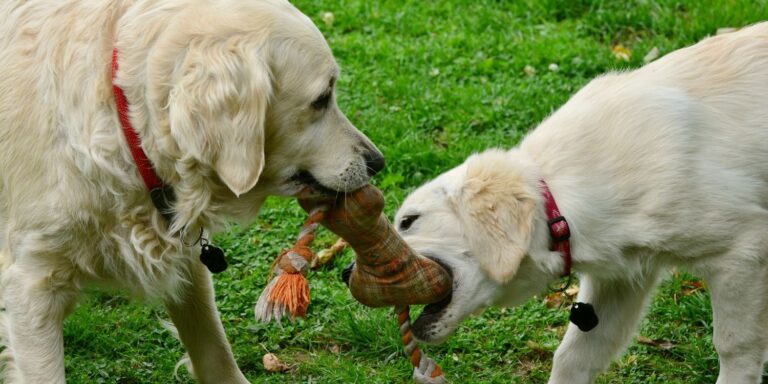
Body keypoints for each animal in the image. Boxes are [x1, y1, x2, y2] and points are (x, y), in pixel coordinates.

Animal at [0, 1, 384, 382]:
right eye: (322, 98)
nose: (377, 162)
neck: (126, 124)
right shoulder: (33, 286)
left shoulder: (187, 257)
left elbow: (213, 348)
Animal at [396, 22, 768, 382]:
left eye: (408, 221)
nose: (366, 272)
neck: (558, 201)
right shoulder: (620, 280)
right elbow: (572, 357)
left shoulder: (741, 251)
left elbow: (734, 347)